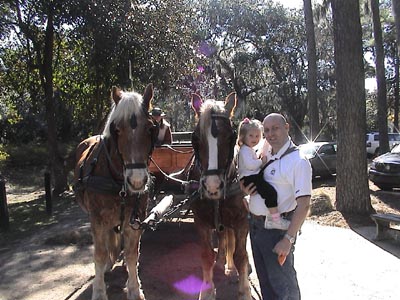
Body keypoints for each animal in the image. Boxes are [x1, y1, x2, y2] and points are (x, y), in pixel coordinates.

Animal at [74, 84, 158, 300]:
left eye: (150, 128)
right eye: (117, 129)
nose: (137, 181)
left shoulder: (135, 219)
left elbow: (132, 254)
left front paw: (135, 289)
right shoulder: (97, 219)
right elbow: (99, 254)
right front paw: (99, 291)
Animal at [190, 94, 250, 300]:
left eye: (231, 137)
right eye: (196, 138)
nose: (212, 186)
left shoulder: (241, 220)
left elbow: (241, 255)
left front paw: (244, 291)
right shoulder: (200, 220)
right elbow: (206, 255)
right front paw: (207, 291)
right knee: (224, 239)